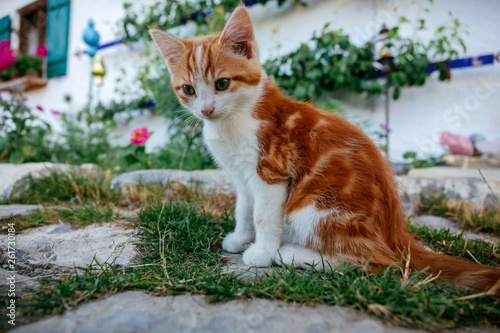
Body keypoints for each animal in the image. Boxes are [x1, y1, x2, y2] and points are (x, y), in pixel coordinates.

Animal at [151, 4, 500, 290]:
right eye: (188, 90)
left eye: (222, 83)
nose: (206, 110)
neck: (237, 116)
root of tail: (397, 237)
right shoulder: (241, 175)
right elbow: (244, 208)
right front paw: (240, 237)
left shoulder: (271, 171)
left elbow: (264, 214)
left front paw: (261, 251)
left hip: (315, 207)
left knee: (374, 263)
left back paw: (288, 253)